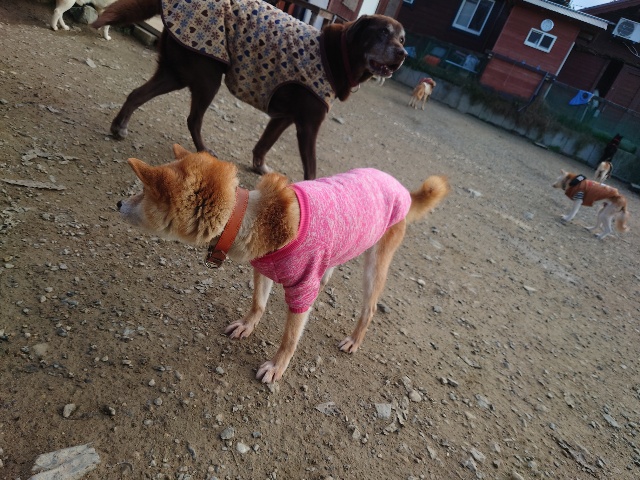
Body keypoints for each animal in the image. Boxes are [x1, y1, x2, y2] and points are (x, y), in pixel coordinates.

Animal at [93, 0, 407, 180]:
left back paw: (119, 126)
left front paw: (259, 168)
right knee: (193, 119)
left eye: (402, 38)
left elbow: (264, 144)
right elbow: (312, 167)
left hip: (175, 73)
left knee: (136, 94)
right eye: (382, 33)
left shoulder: (283, 117)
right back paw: (204, 150)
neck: (336, 54)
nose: (403, 53)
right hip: (207, 78)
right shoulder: (308, 125)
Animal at [117, 144, 449, 382]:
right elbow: (258, 304)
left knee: (369, 308)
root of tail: (402, 187)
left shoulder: (301, 291)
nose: (118, 203)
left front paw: (276, 367)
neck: (248, 217)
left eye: (143, 192)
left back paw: (354, 340)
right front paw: (246, 326)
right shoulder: (262, 270)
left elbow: (289, 338)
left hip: (376, 263)